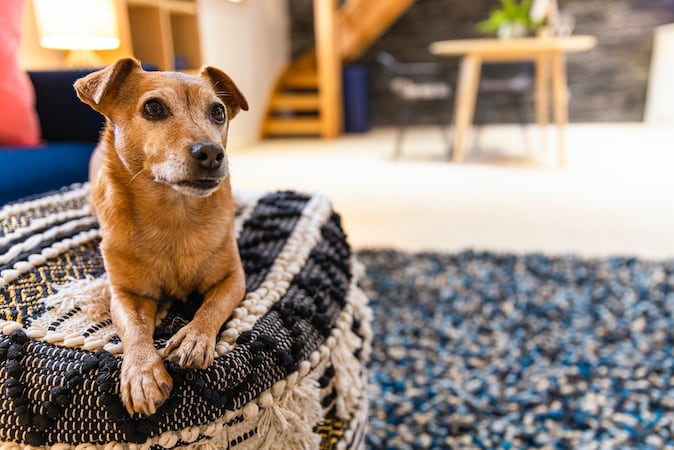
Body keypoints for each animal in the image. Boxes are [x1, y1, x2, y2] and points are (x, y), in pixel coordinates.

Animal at [74, 58, 247, 416]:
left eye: (218, 112)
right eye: (153, 108)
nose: (212, 153)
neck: (174, 216)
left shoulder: (233, 279)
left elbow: (212, 308)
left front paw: (194, 337)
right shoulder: (126, 295)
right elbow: (135, 330)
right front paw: (142, 372)